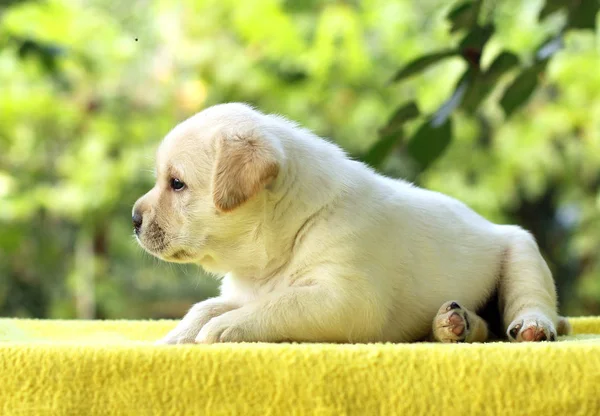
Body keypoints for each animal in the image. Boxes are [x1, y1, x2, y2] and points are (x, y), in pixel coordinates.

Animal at [134, 103, 568, 344]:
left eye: (176, 183)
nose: (134, 219)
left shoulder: (345, 299)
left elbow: (279, 304)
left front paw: (225, 328)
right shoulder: (246, 291)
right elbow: (203, 307)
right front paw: (173, 339)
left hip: (521, 252)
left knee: (529, 302)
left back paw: (530, 325)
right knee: (485, 327)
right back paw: (452, 323)